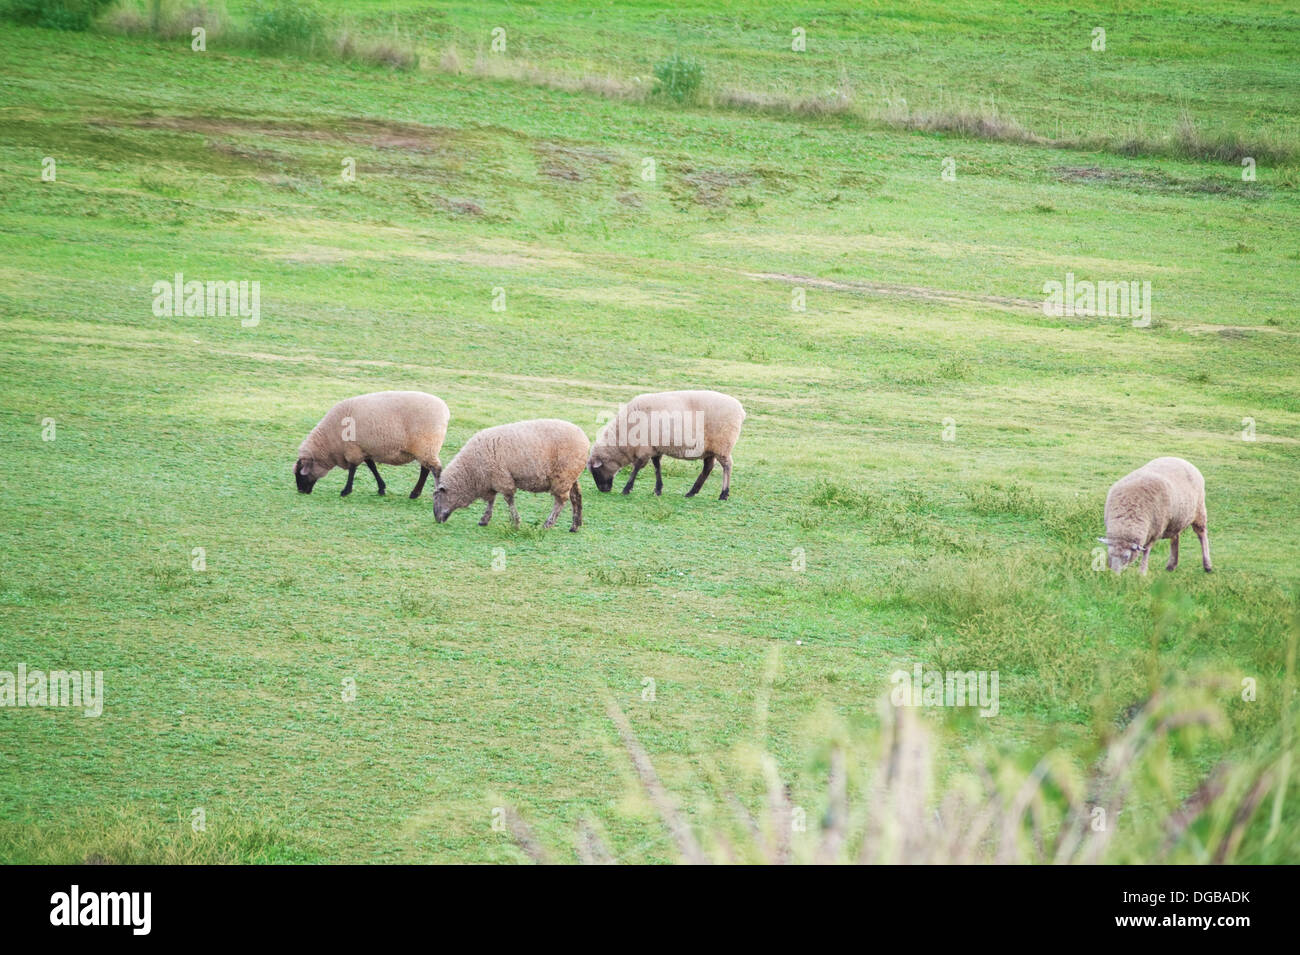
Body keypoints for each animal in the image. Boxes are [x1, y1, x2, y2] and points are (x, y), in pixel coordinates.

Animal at [296, 392, 452, 501]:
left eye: (300, 474)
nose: (300, 491)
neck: (329, 442)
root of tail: (445, 411)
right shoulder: (363, 449)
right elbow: (372, 467)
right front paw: (381, 488)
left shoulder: (353, 449)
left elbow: (352, 469)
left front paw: (346, 491)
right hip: (425, 449)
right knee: (425, 469)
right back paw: (415, 493)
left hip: (427, 445)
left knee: (435, 469)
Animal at [431, 420, 590, 535]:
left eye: (437, 497)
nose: (437, 519)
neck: (470, 471)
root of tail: (585, 439)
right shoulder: (491, 480)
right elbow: (491, 500)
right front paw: (485, 519)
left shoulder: (502, 478)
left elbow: (508, 500)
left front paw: (515, 522)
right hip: (571, 476)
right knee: (576, 497)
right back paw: (575, 525)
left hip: (563, 476)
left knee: (561, 501)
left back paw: (548, 524)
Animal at [587, 392, 748, 504]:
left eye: (596, 471)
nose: (603, 490)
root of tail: (740, 410)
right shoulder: (655, 448)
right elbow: (657, 467)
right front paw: (658, 489)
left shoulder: (644, 449)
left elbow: (637, 467)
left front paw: (627, 488)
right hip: (710, 449)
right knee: (707, 468)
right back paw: (692, 492)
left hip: (723, 445)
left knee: (727, 466)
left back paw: (724, 494)